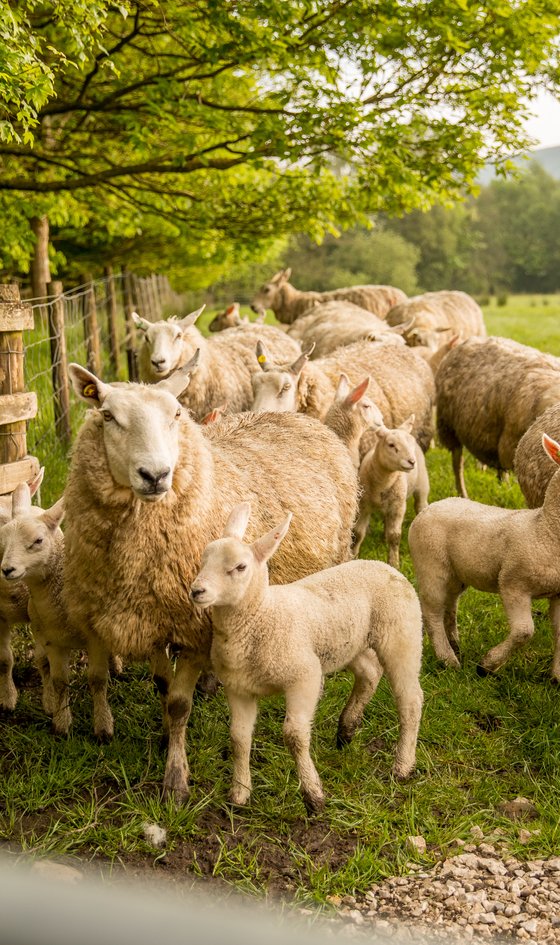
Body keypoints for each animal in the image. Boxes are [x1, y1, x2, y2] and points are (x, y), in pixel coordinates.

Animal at [0, 480, 114, 737]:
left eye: (38, 541)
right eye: (3, 541)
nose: (7, 569)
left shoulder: (95, 641)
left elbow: (97, 680)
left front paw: (103, 727)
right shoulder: (52, 640)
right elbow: (59, 680)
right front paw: (61, 724)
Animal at [62, 362, 358, 802]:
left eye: (176, 414)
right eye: (108, 416)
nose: (156, 475)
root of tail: (297, 418)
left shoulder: (194, 628)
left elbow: (178, 705)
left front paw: (175, 777)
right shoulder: (130, 612)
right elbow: (143, 682)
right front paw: (138, 733)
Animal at [190, 501, 423, 812]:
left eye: (240, 567)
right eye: (203, 559)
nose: (196, 591)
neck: (260, 616)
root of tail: (385, 566)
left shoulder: (304, 677)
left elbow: (294, 736)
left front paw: (313, 794)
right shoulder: (239, 688)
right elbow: (238, 738)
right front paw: (239, 793)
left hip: (402, 636)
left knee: (410, 699)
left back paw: (403, 765)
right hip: (350, 643)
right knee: (369, 673)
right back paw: (347, 728)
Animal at [353, 417, 430, 566]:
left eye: (411, 444)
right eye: (391, 445)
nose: (411, 462)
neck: (383, 482)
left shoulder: (398, 506)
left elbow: (394, 536)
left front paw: (394, 563)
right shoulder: (364, 505)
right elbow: (358, 533)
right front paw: (352, 556)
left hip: (422, 485)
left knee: (420, 505)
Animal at [409, 432, 560, 679]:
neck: (544, 529)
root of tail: (431, 507)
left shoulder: (557, 593)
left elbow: (558, 633)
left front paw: (555, 676)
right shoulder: (512, 583)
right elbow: (524, 631)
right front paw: (487, 665)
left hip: (455, 574)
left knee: (450, 607)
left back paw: (455, 645)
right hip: (430, 564)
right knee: (432, 612)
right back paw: (448, 659)